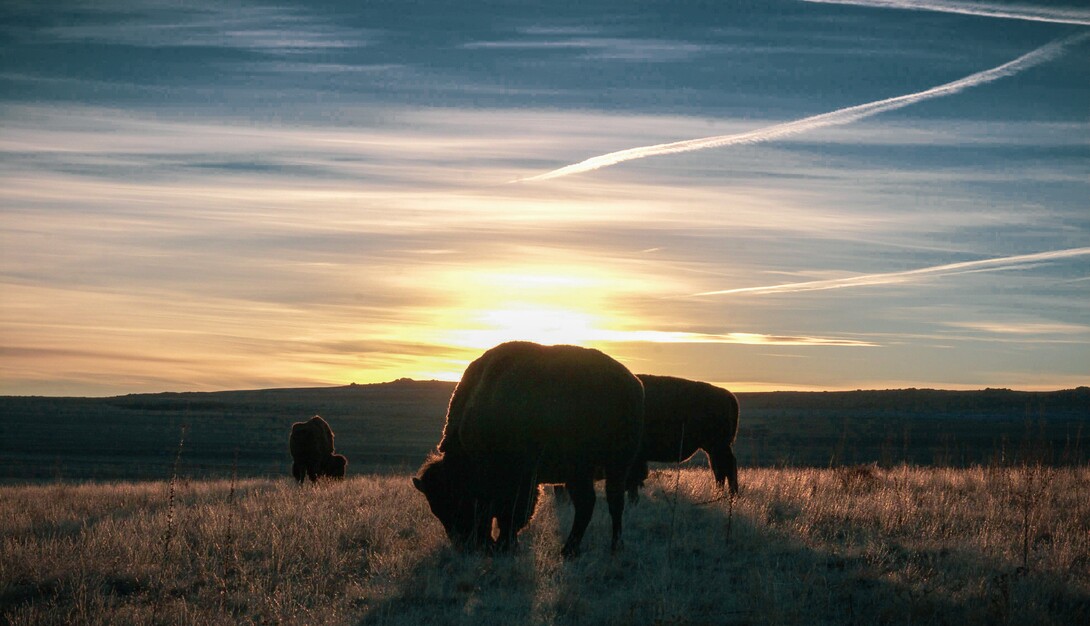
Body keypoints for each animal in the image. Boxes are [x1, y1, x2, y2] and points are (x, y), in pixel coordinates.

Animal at [412, 344, 640, 558]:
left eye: (455, 500)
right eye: (436, 509)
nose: (464, 545)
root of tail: (631, 383)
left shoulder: (520, 479)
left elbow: (512, 515)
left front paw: (506, 545)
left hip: (590, 468)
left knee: (591, 503)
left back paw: (571, 550)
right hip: (608, 468)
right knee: (611, 502)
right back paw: (608, 547)